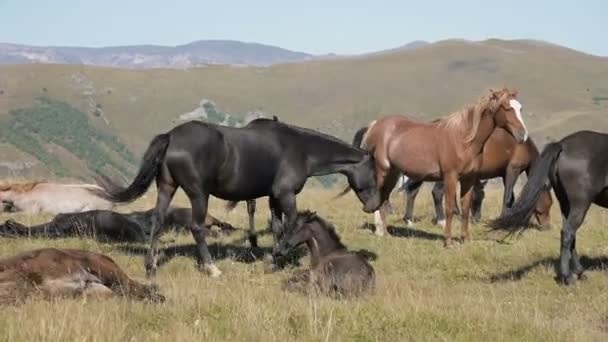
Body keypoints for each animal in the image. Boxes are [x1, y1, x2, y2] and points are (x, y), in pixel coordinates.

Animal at [94, 117, 380, 278]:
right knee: (197, 228)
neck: (301, 149)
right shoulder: (286, 195)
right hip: (199, 194)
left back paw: (151, 267)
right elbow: (291, 224)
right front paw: (280, 259)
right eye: (375, 173)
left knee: (157, 222)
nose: (373, 206)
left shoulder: (273, 196)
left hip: (166, 187)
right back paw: (211, 268)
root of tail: (172, 136)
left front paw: (274, 256)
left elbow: (277, 228)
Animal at [346, 88, 528, 247]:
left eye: (520, 108)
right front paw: (448, 242)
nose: (523, 135)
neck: (463, 139)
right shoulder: (450, 177)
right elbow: (449, 208)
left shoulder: (468, 179)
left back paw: (385, 232)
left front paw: (465, 239)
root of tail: (374, 125)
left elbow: (465, 207)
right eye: (506, 108)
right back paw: (380, 231)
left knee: (384, 197)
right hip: (383, 169)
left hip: (394, 172)